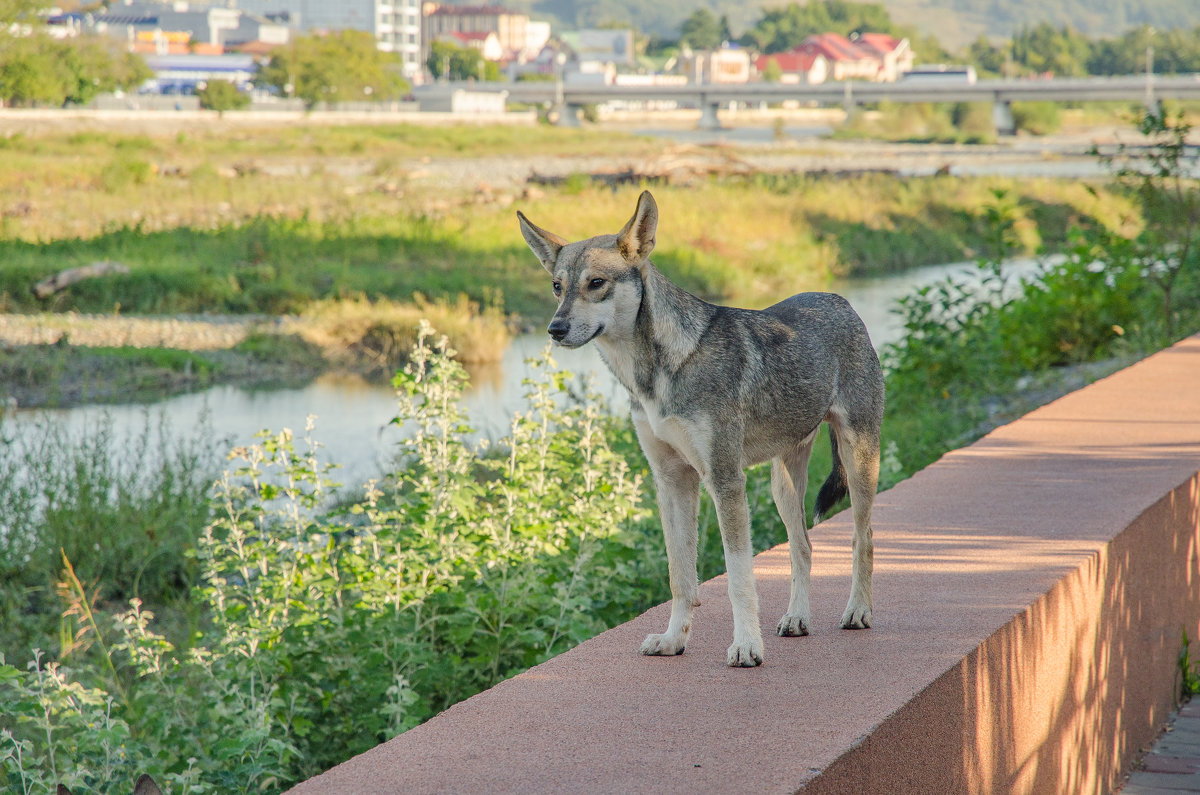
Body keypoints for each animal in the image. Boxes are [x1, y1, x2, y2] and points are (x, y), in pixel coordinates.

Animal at [516, 192, 883, 667]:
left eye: (596, 283)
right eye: (557, 287)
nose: (555, 329)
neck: (654, 373)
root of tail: (841, 301)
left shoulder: (724, 481)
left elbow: (739, 579)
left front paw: (746, 646)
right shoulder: (672, 482)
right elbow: (681, 579)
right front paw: (674, 640)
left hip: (858, 468)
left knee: (863, 539)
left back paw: (858, 611)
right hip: (783, 486)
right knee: (803, 547)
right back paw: (797, 619)